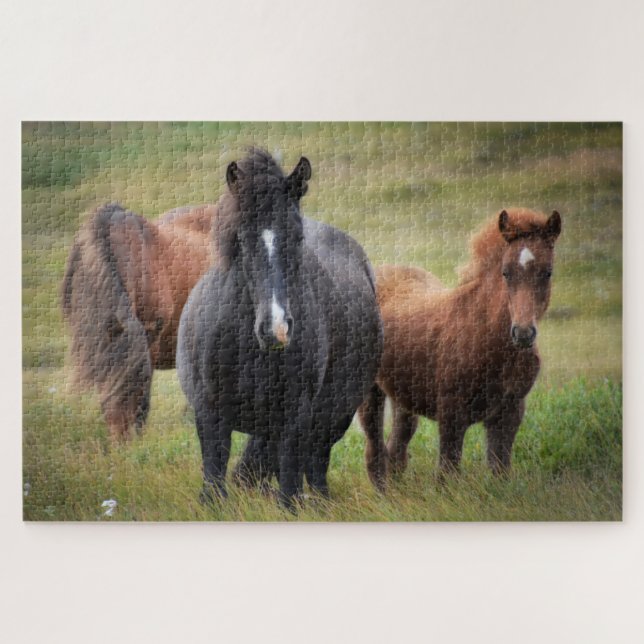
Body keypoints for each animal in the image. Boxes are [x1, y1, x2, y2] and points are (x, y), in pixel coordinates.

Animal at [177, 149, 383, 509]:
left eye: (298, 237)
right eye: (241, 238)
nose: (276, 330)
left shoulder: (296, 416)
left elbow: (288, 489)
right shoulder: (209, 413)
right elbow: (214, 480)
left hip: (333, 418)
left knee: (315, 467)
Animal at [358, 207, 562, 491]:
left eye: (548, 272)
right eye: (506, 272)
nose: (523, 334)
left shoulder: (510, 412)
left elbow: (500, 470)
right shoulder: (451, 414)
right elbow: (447, 473)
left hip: (403, 395)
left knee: (396, 448)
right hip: (370, 391)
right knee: (375, 449)